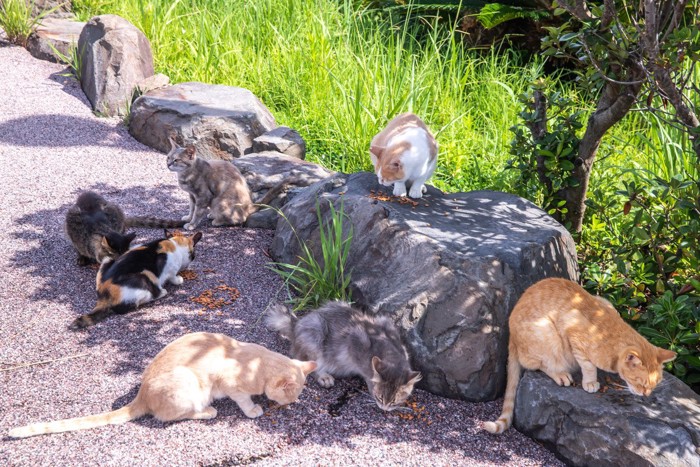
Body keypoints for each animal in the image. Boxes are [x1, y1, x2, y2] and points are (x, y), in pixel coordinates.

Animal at [8, 332, 318, 438]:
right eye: (289, 398)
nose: (291, 404)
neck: (257, 361)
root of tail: (141, 393)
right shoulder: (231, 384)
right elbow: (243, 400)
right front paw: (254, 409)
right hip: (188, 385)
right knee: (174, 416)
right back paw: (208, 411)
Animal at [71, 230, 202, 330]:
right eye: (193, 255)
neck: (174, 243)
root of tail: (104, 295)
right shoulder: (170, 270)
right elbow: (173, 277)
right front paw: (179, 279)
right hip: (146, 277)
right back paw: (162, 292)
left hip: (107, 260)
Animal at [266, 302, 422, 412]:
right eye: (380, 397)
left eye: (395, 400)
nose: (385, 408)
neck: (389, 351)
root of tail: (296, 324)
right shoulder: (355, 340)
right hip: (315, 333)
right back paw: (325, 378)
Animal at [484, 278, 676, 436]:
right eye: (640, 383)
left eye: (654, 384)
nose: (646, 395)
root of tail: (511, 335)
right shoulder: (573, 331)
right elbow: (588, 365)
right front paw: (590, 382)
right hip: (546, 333)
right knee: (539, 364)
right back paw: (560, 374)